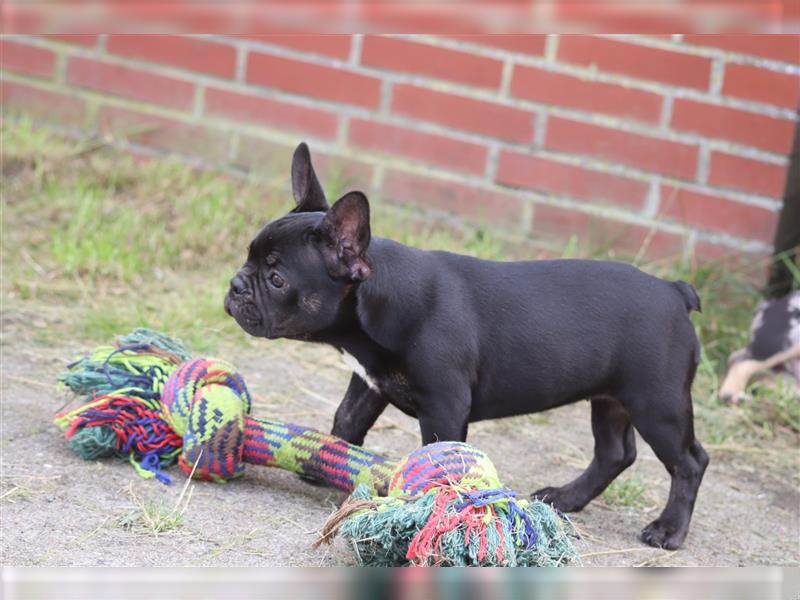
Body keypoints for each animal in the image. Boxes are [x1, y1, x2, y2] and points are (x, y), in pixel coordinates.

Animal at [225, 143, 708, 552]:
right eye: (247, 258)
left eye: (276, 279)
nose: (235, 285)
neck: (380, 296)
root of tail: (675, 291)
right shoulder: (370, 382)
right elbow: (346, 419)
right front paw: (325, 461)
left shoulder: (443, 404)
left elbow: (438, 456)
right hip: (611, 397)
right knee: (614, 453)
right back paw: (565, 498)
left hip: (656, 401)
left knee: (689, 461)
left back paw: (668, 530)